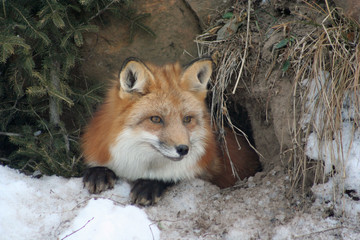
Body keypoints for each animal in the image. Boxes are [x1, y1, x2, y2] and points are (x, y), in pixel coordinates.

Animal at [82, 57, 262, 205]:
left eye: (187, 119)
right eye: (156, 119)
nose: (183, 149)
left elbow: (174, 175)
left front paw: (150, 184)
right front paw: (99, 173)